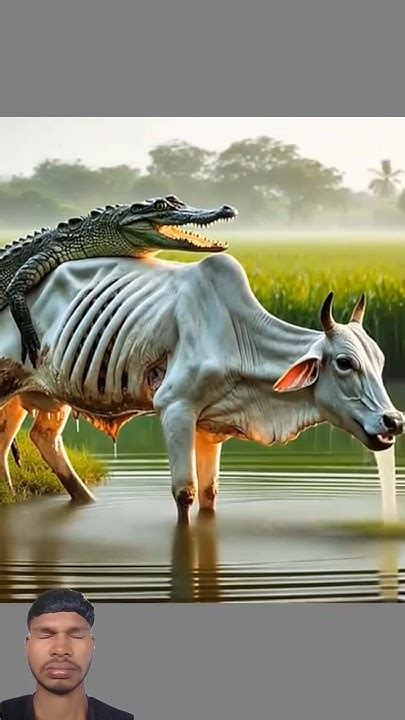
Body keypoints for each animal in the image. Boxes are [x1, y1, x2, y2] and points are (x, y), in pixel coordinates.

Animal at [0, 252, 401, 522]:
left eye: (381, 361)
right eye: (344, 362)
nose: (393, 421)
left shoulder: (212, 424)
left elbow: (209, 493)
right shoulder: (175, 408)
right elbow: (186, 494)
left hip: (42, 394)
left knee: (37, 438)